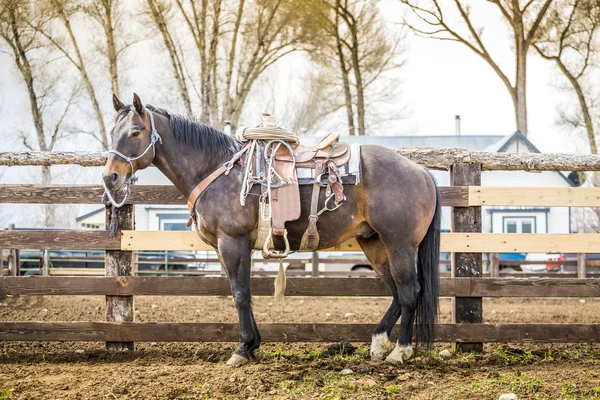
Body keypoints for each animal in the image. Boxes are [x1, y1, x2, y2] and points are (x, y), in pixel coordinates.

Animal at [103, 93, 440, 366]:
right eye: (112, 132)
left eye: (135, 132)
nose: (110, 178)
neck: (216, 170)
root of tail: (421, 171)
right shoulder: (229, 248)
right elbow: (244, 292)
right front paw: (252, 345)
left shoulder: (232, 242)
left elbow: (240, 294)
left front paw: (241, 350)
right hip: (374, 244)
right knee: (396, 292)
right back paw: (379, 343)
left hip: (399, 245)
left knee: (409, 292)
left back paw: (400, 351)